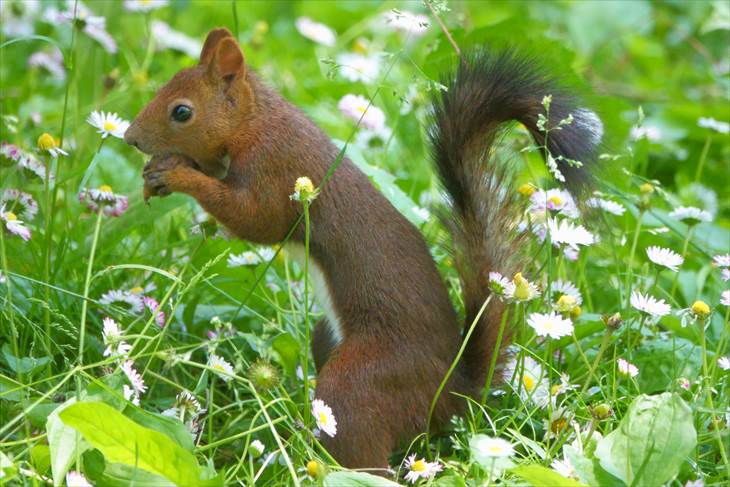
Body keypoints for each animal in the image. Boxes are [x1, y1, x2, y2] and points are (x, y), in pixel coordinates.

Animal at [123, 27, 596, 472]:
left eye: (182, 111)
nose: (129, 138)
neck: (255, 121)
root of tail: (454, 392)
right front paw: (158, 174)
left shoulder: (276, 171)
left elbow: (255, 220)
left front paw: (178, 174)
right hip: (327, 339)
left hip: (363, 381)